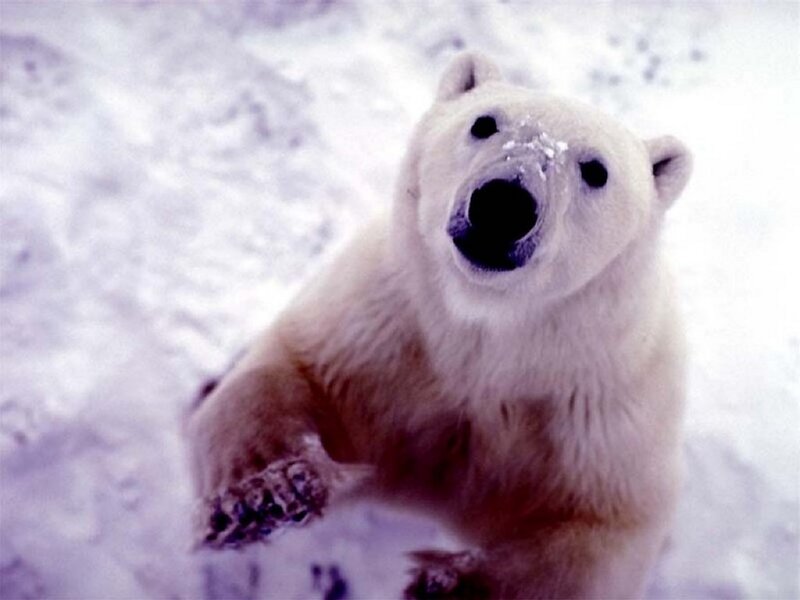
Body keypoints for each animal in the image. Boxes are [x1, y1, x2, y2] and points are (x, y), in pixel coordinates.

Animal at [186, 52, 692, 599]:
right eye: (484, 123)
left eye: (596, 169)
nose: (504, 203)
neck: (482, 330)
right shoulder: (376, 331)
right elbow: (279, 373)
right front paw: (265, 494)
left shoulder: (596, 411)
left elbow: (604, 533)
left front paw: (450, 584)